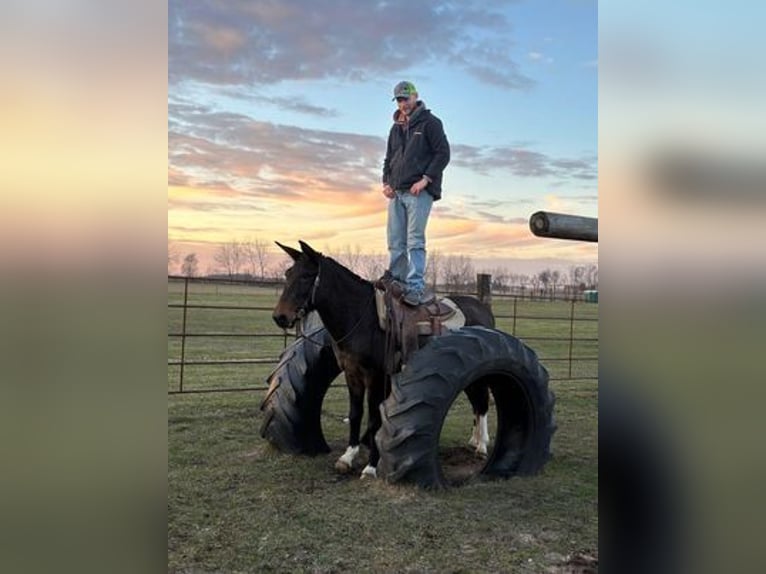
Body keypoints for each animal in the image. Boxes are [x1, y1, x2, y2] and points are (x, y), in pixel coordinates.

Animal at [272, 241, 496, 480]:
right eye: (288, 274)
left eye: (306, 276)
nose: (280, 317)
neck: (362, 318)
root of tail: (481, 307)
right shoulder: (352, 374)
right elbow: (355, 414)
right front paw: (348, 457)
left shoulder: (375, 376)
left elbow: (373, 418)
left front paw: (371, 467)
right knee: (476, 401)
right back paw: (474, 440)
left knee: (482, 401)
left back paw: (482, 446)